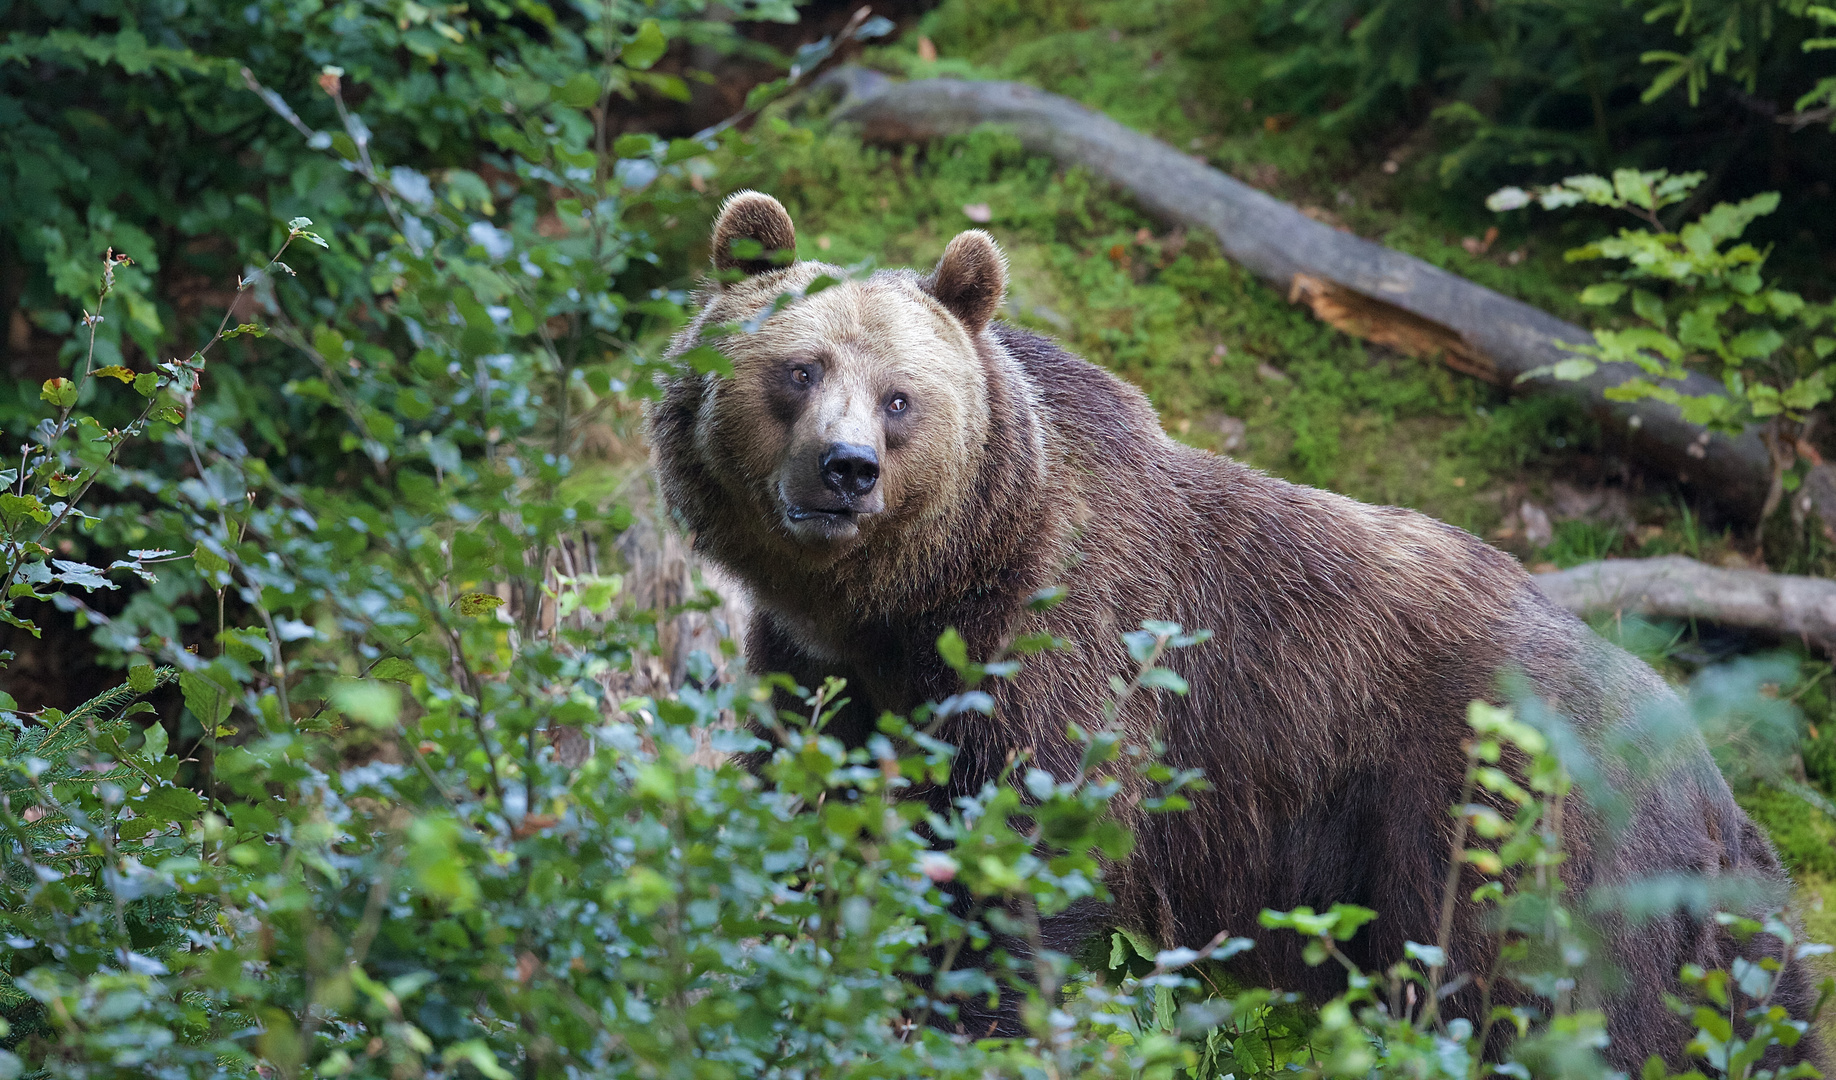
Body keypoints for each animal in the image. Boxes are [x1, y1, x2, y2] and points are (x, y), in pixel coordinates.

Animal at [646, 190, 1806, 1065]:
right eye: (799, 369)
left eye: (899, 398)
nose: (845, 471)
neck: (917, 592)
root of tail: (1706, 772)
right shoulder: (821, 667)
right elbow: (805, 801)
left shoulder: (1058, 643)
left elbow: (1025, 853)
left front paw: (961, 1019)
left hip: (1512, 827)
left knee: (1555, 1007)